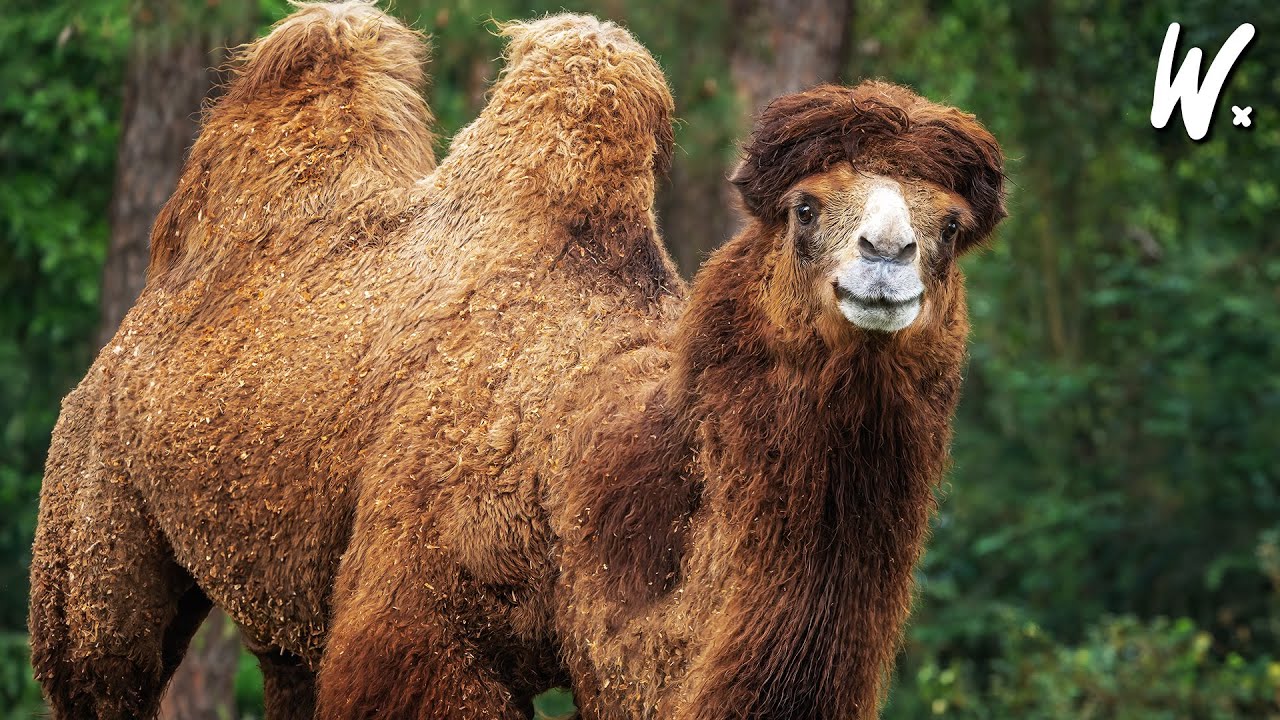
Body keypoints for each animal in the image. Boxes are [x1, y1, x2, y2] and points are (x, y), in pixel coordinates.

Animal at [29, 3, 1006, 719]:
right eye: (804, 210)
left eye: (951, 229)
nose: (888, 257)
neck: (577, 473)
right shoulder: (421, 626)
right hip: (91, 507)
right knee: (101, 669)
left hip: (280, 605)